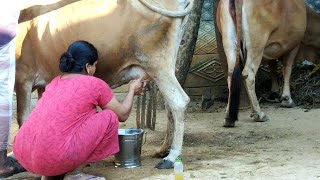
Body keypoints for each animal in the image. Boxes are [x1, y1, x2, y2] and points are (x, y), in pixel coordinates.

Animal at [16, 0, 194, 169]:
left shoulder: (23, 75)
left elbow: (22, 118)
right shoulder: (41, 84)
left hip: (158, 65)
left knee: (179, 101)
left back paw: (171, 157)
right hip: (164, 67)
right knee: (171, 105)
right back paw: (163, 151)